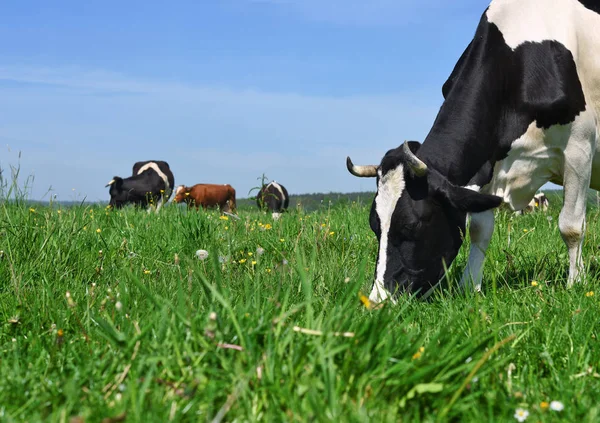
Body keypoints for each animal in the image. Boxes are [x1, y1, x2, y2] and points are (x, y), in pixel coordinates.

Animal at [346, 0, 600, 304]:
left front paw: (576, 283)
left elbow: (571, 226)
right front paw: (469, 286)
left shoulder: (579, 148)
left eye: (412, 226)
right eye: (375, 225)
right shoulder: (486, 165)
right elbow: (479, 229)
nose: (377, 300)